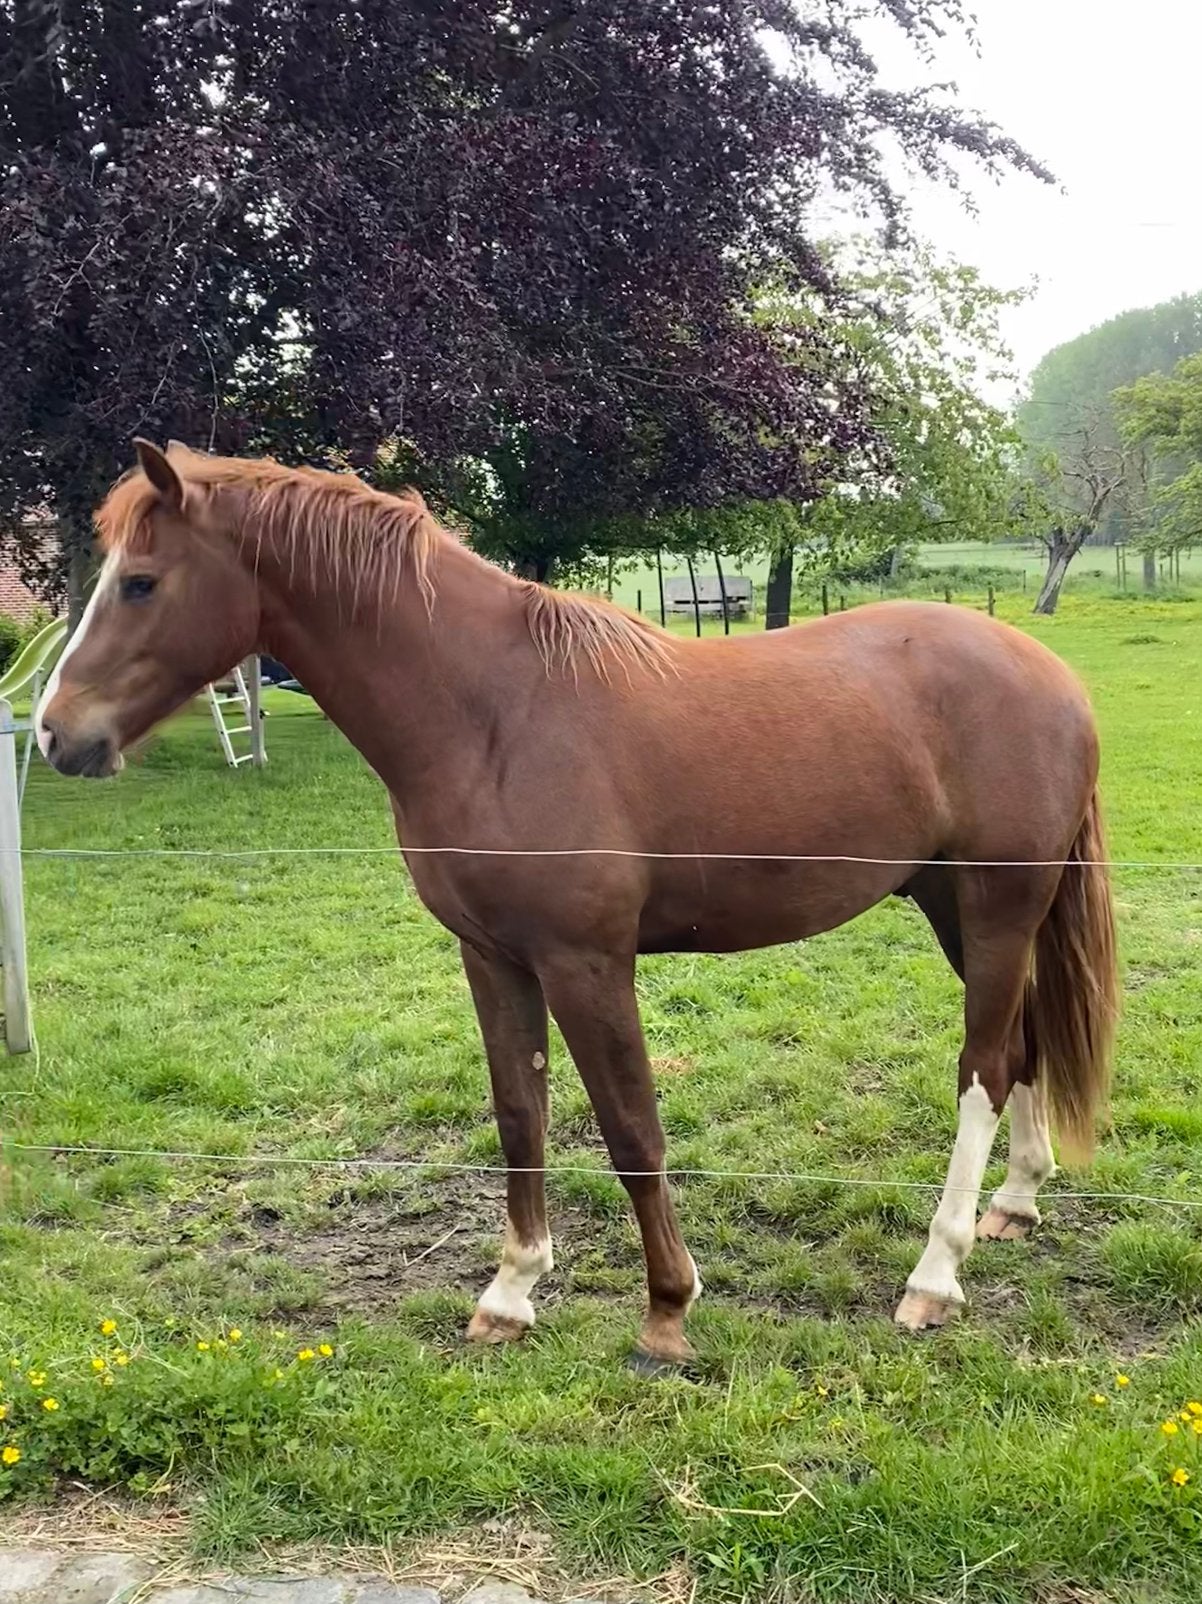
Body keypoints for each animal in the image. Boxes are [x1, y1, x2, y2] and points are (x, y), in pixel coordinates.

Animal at [36, 440, 1119, 1370]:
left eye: (140, 581)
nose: (55, 733)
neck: (493, 715)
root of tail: (1055, 677)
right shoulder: (491, 955)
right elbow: (521, 1111)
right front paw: (510, 1292)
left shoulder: (586, 961)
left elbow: (631, 1129)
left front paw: (667, 1309)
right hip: (957, 908)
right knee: (1023, 1044)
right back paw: (1013, 1206)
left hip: (995, 907)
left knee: (981, 1070)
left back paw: (934, 1276)